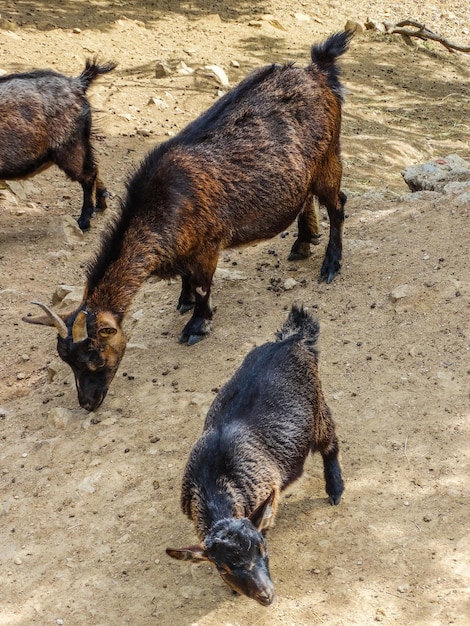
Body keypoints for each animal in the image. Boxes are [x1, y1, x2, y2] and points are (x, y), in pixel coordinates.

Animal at [0, 58, 116, 229]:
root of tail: (78, 84)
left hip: (70, 148)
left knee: (89, 175)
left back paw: (84, 220)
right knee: (94, 169)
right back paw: (101, 204)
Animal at [22, 30, 352, 410]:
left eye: (94, 355)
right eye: (66, 360)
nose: (88, 403)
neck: (163, 202)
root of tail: (319, 70)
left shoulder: (209, 243)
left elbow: (202, 284)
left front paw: (197, 324)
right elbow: (186, 277)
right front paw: (184, 301)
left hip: (330, 157)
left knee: (338, 205)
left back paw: (330, 264)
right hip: (306, 172)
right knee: (307, 198)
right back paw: (302, 243)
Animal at [167, 304, 344, 604]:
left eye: (263, 549)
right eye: (223, 568)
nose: (266, 595)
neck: (213, 480)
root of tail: (291, 340)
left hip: (318, 409)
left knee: (330, 445)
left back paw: (335, 488)